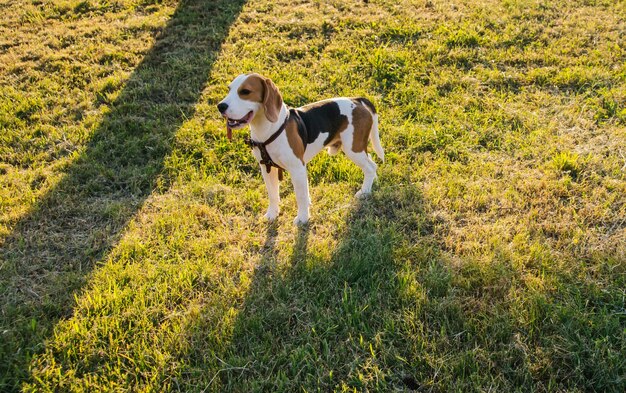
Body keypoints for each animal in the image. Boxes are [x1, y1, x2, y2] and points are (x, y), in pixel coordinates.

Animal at [217, 72, 382, 224]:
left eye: (245, 91)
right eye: (229, 89)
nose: (220, 106)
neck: (268, 129)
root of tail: (357, 100)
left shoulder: (297, 169)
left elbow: (301, 196)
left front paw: (303, 218)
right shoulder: (267, 168)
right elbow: (273, 194)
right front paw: (272, 214)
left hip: (353, 149)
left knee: (370, 167)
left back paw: (364, 191)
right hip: (357, 149)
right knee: (372, 164)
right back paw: (372, 182)